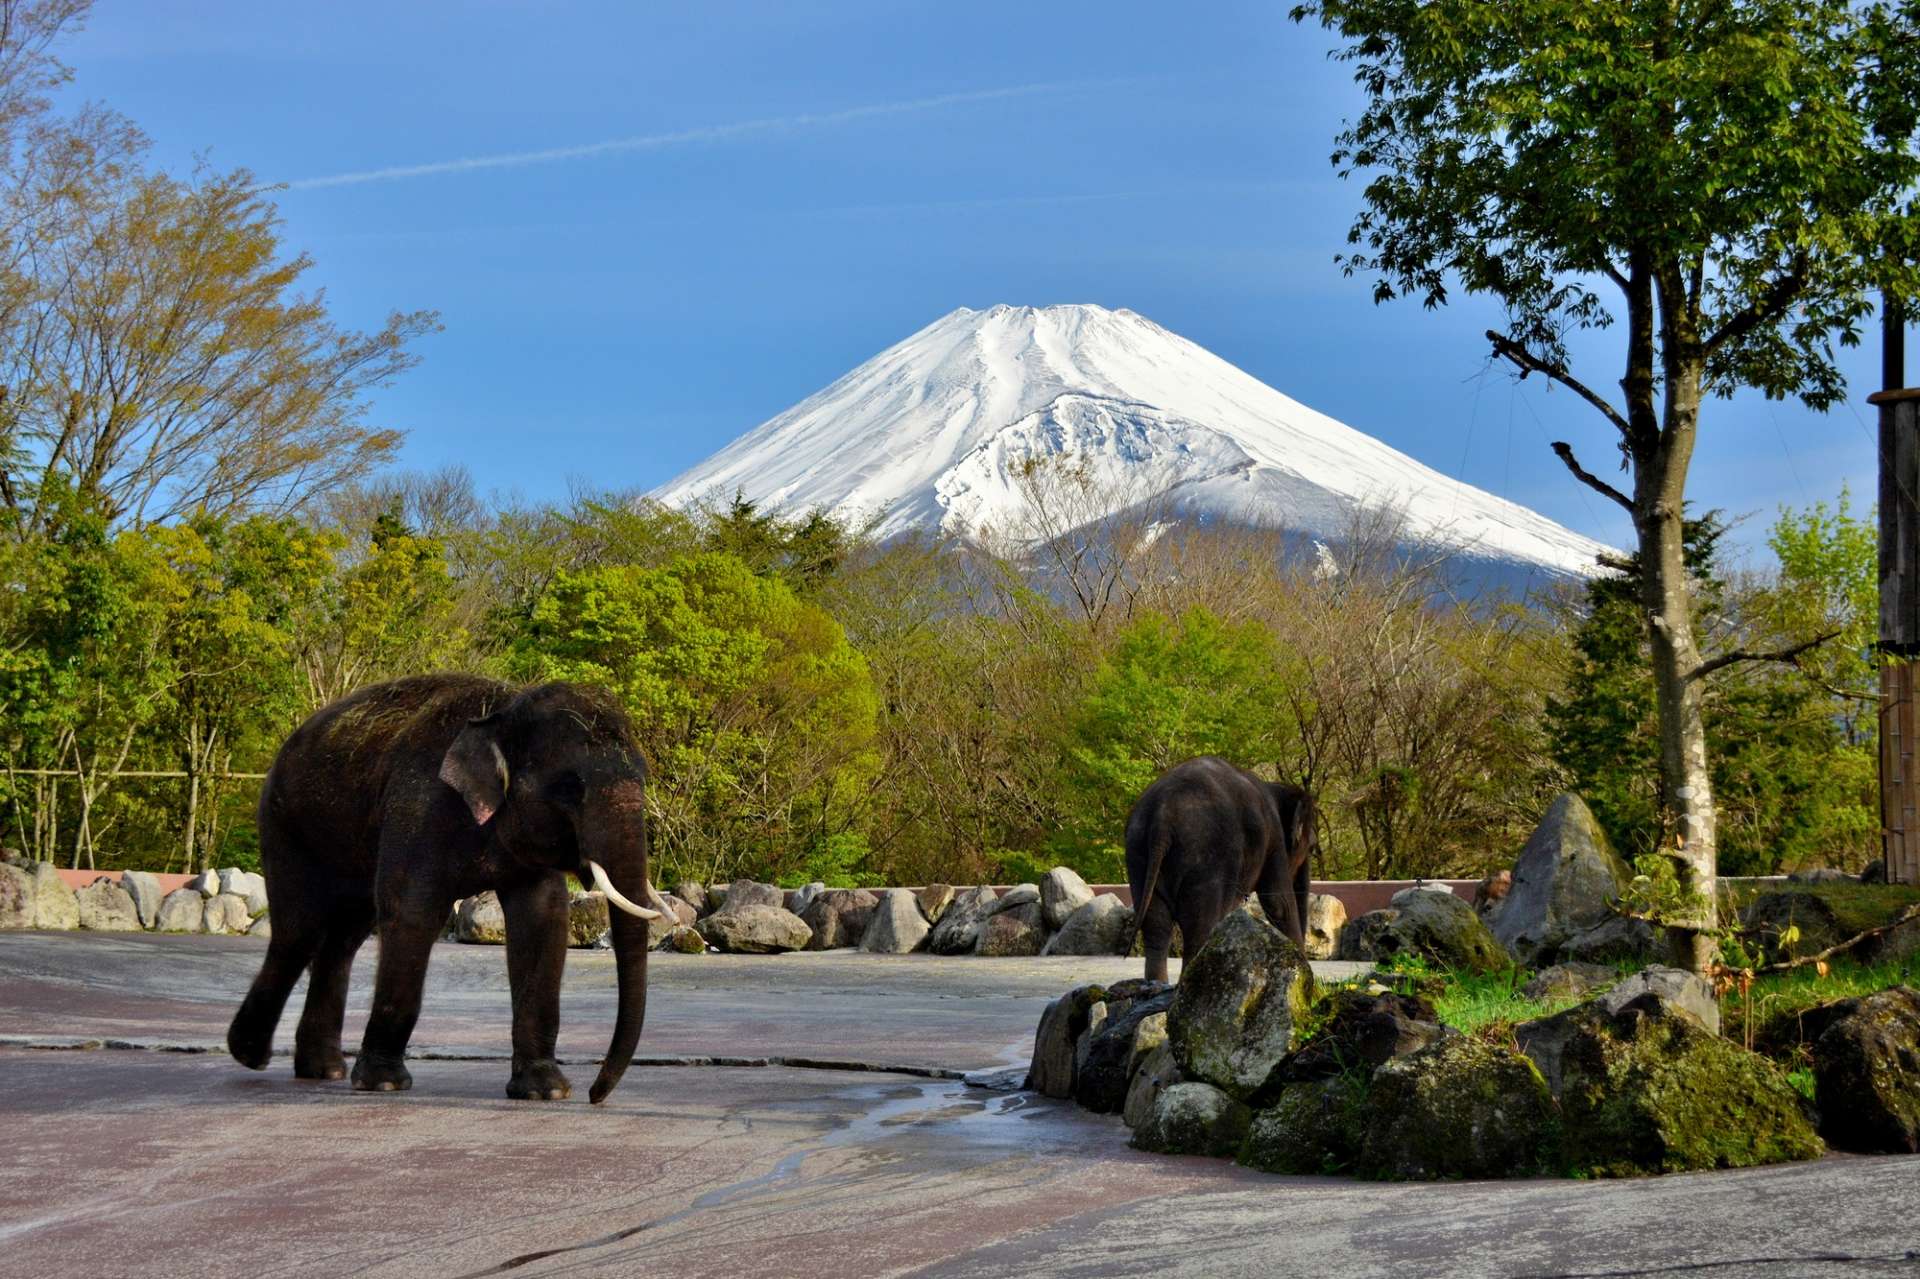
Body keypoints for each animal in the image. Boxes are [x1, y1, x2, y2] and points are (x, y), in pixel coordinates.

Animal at [220, 672, 660, 1098]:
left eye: (643, 778)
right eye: (570, 788)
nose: (595, 1094)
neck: (504, 710)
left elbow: (542, 921)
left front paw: (546, 1091)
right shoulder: (420, 806)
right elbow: (412, 912)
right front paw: (384, 1084)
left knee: (342, 941)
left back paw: (322, 1070)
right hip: (285, 826)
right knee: (300, 932)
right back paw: (250, 1055)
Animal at [1121, 752, 1320, 979]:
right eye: (1311, 847)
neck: (1274, 787)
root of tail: (1162, 817)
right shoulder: (1274, 837)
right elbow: (1279, 903)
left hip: (1139, 852)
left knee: (1156, 925)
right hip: (1204, 855)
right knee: (1199, 926)